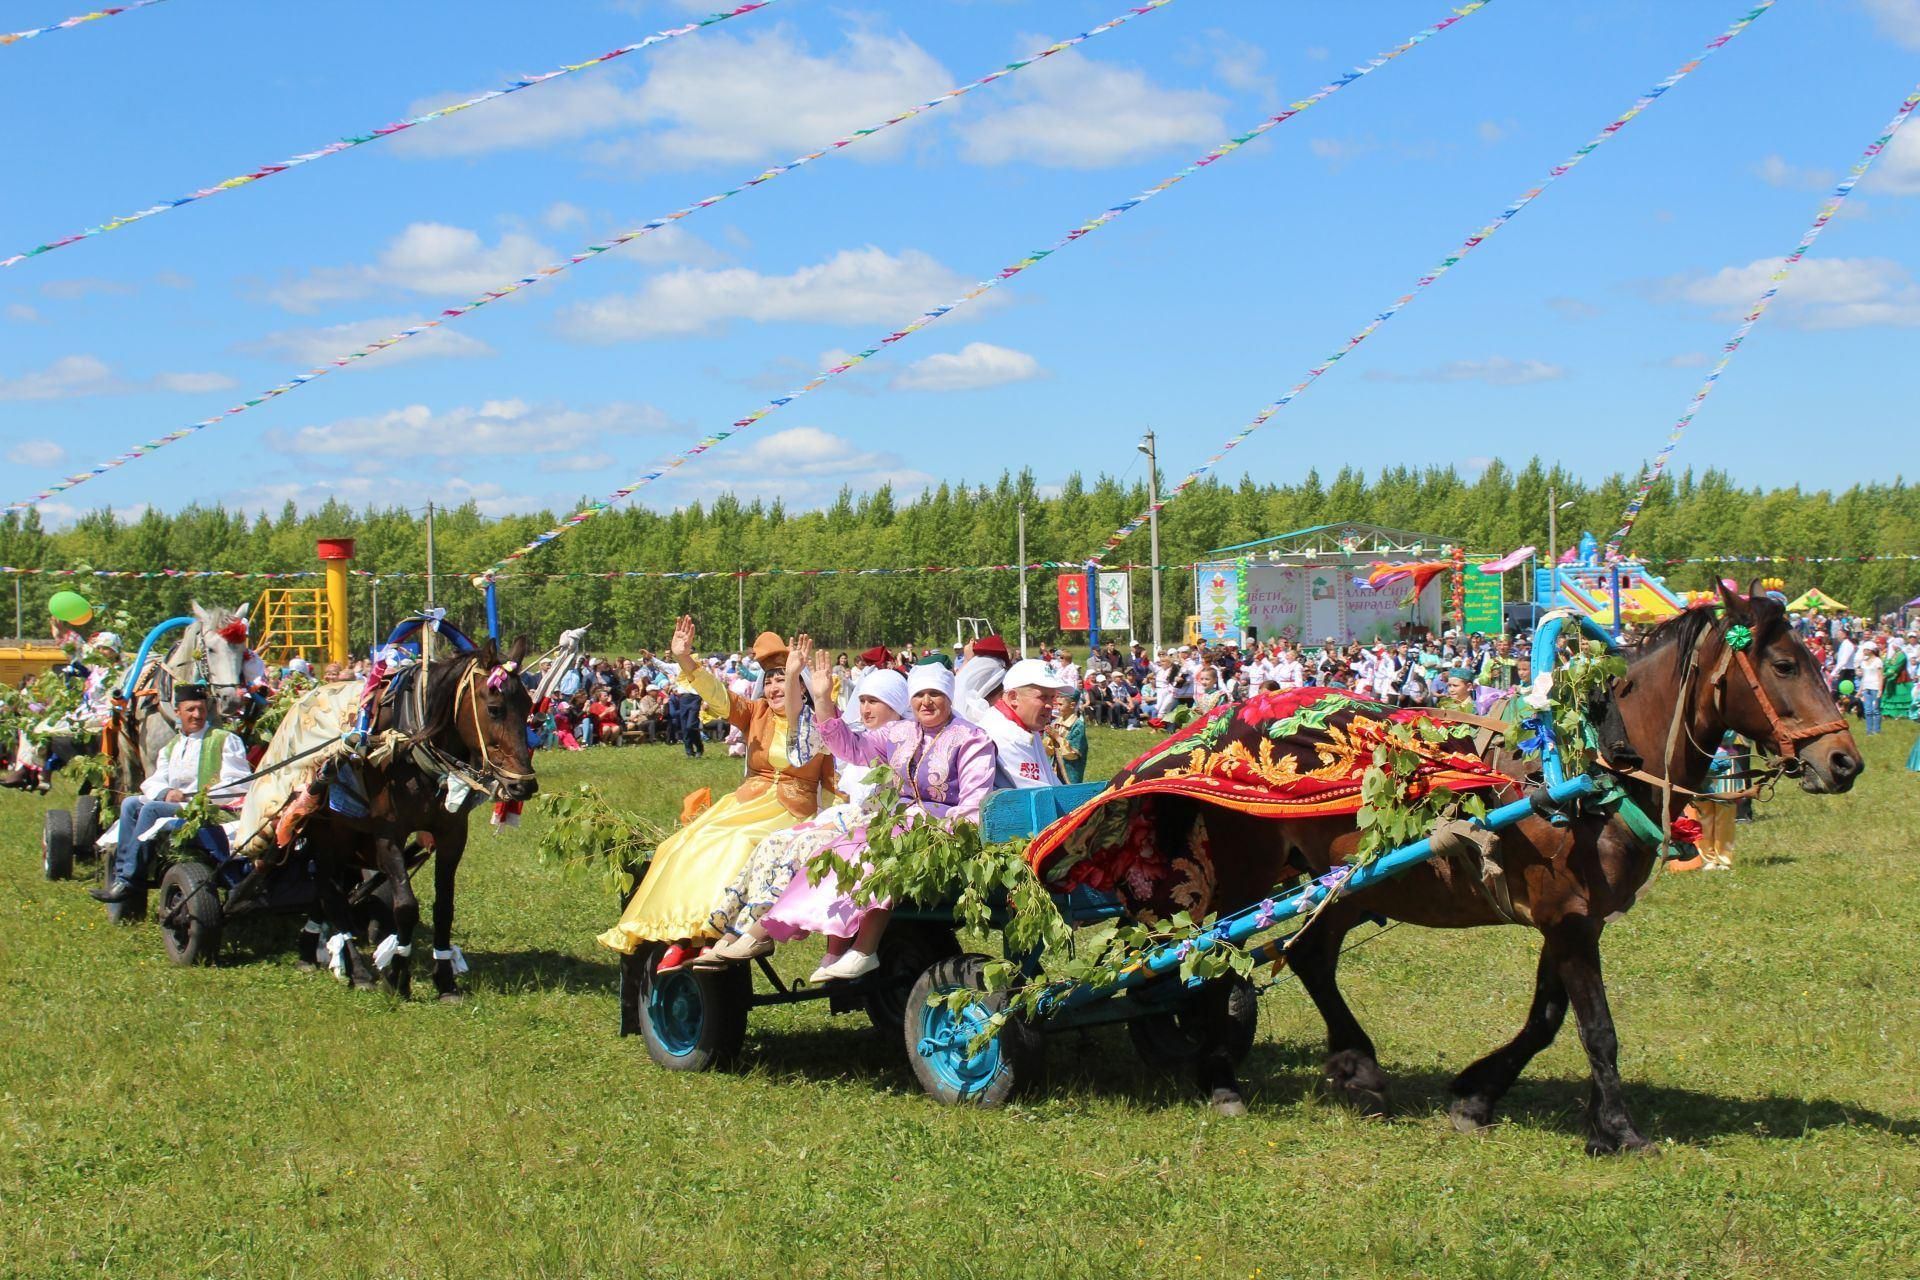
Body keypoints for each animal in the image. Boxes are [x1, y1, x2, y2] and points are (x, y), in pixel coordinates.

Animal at [299, 640, 541, 997]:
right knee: (330, 892)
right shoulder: (388, 835)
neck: (415, 745)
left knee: (328, 890)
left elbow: (444, 907)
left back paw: (309, 949)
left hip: (348, 834)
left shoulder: (452, 833)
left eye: (527, 706)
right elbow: (406, 906)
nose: (522, 785)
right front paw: (398, 974)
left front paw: (445, 978)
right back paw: (358, 969)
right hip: (324, 831)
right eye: (495, 708)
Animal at [1167, 587, 1858, 1159]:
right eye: (1785, 665)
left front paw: (1480, 1096)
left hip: (1345, 884)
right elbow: (1597, 1029)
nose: (1844, 761)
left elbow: (1546, 1020)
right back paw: (1222, 1077)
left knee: (1307, 957)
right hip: (1246, 880)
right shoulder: (1569, 919)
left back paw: (1356, 1067)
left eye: (1815, 658)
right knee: (1206, 964)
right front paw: (1622, 1131)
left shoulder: (1575, 919)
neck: (1593, 763)